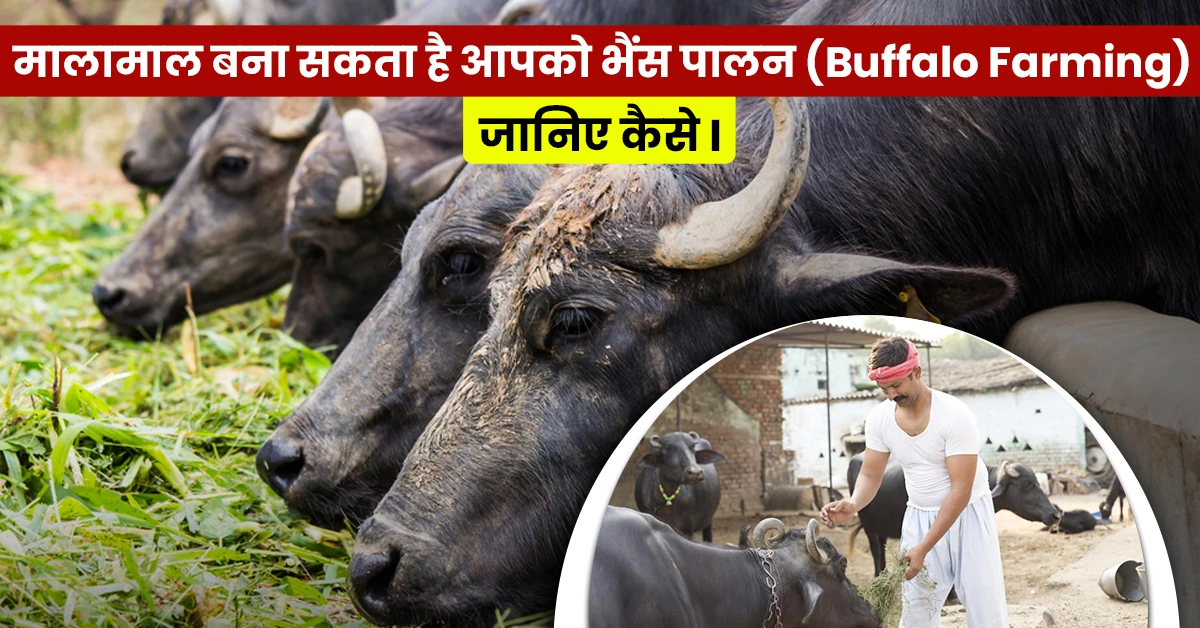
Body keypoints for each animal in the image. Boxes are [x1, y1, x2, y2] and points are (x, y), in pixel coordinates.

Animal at [847, 454, 1061, 576]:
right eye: (1026, 485)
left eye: (1037, 482)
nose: (1055, 515)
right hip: (868, 525)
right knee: (875, 550)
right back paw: (878, 575)